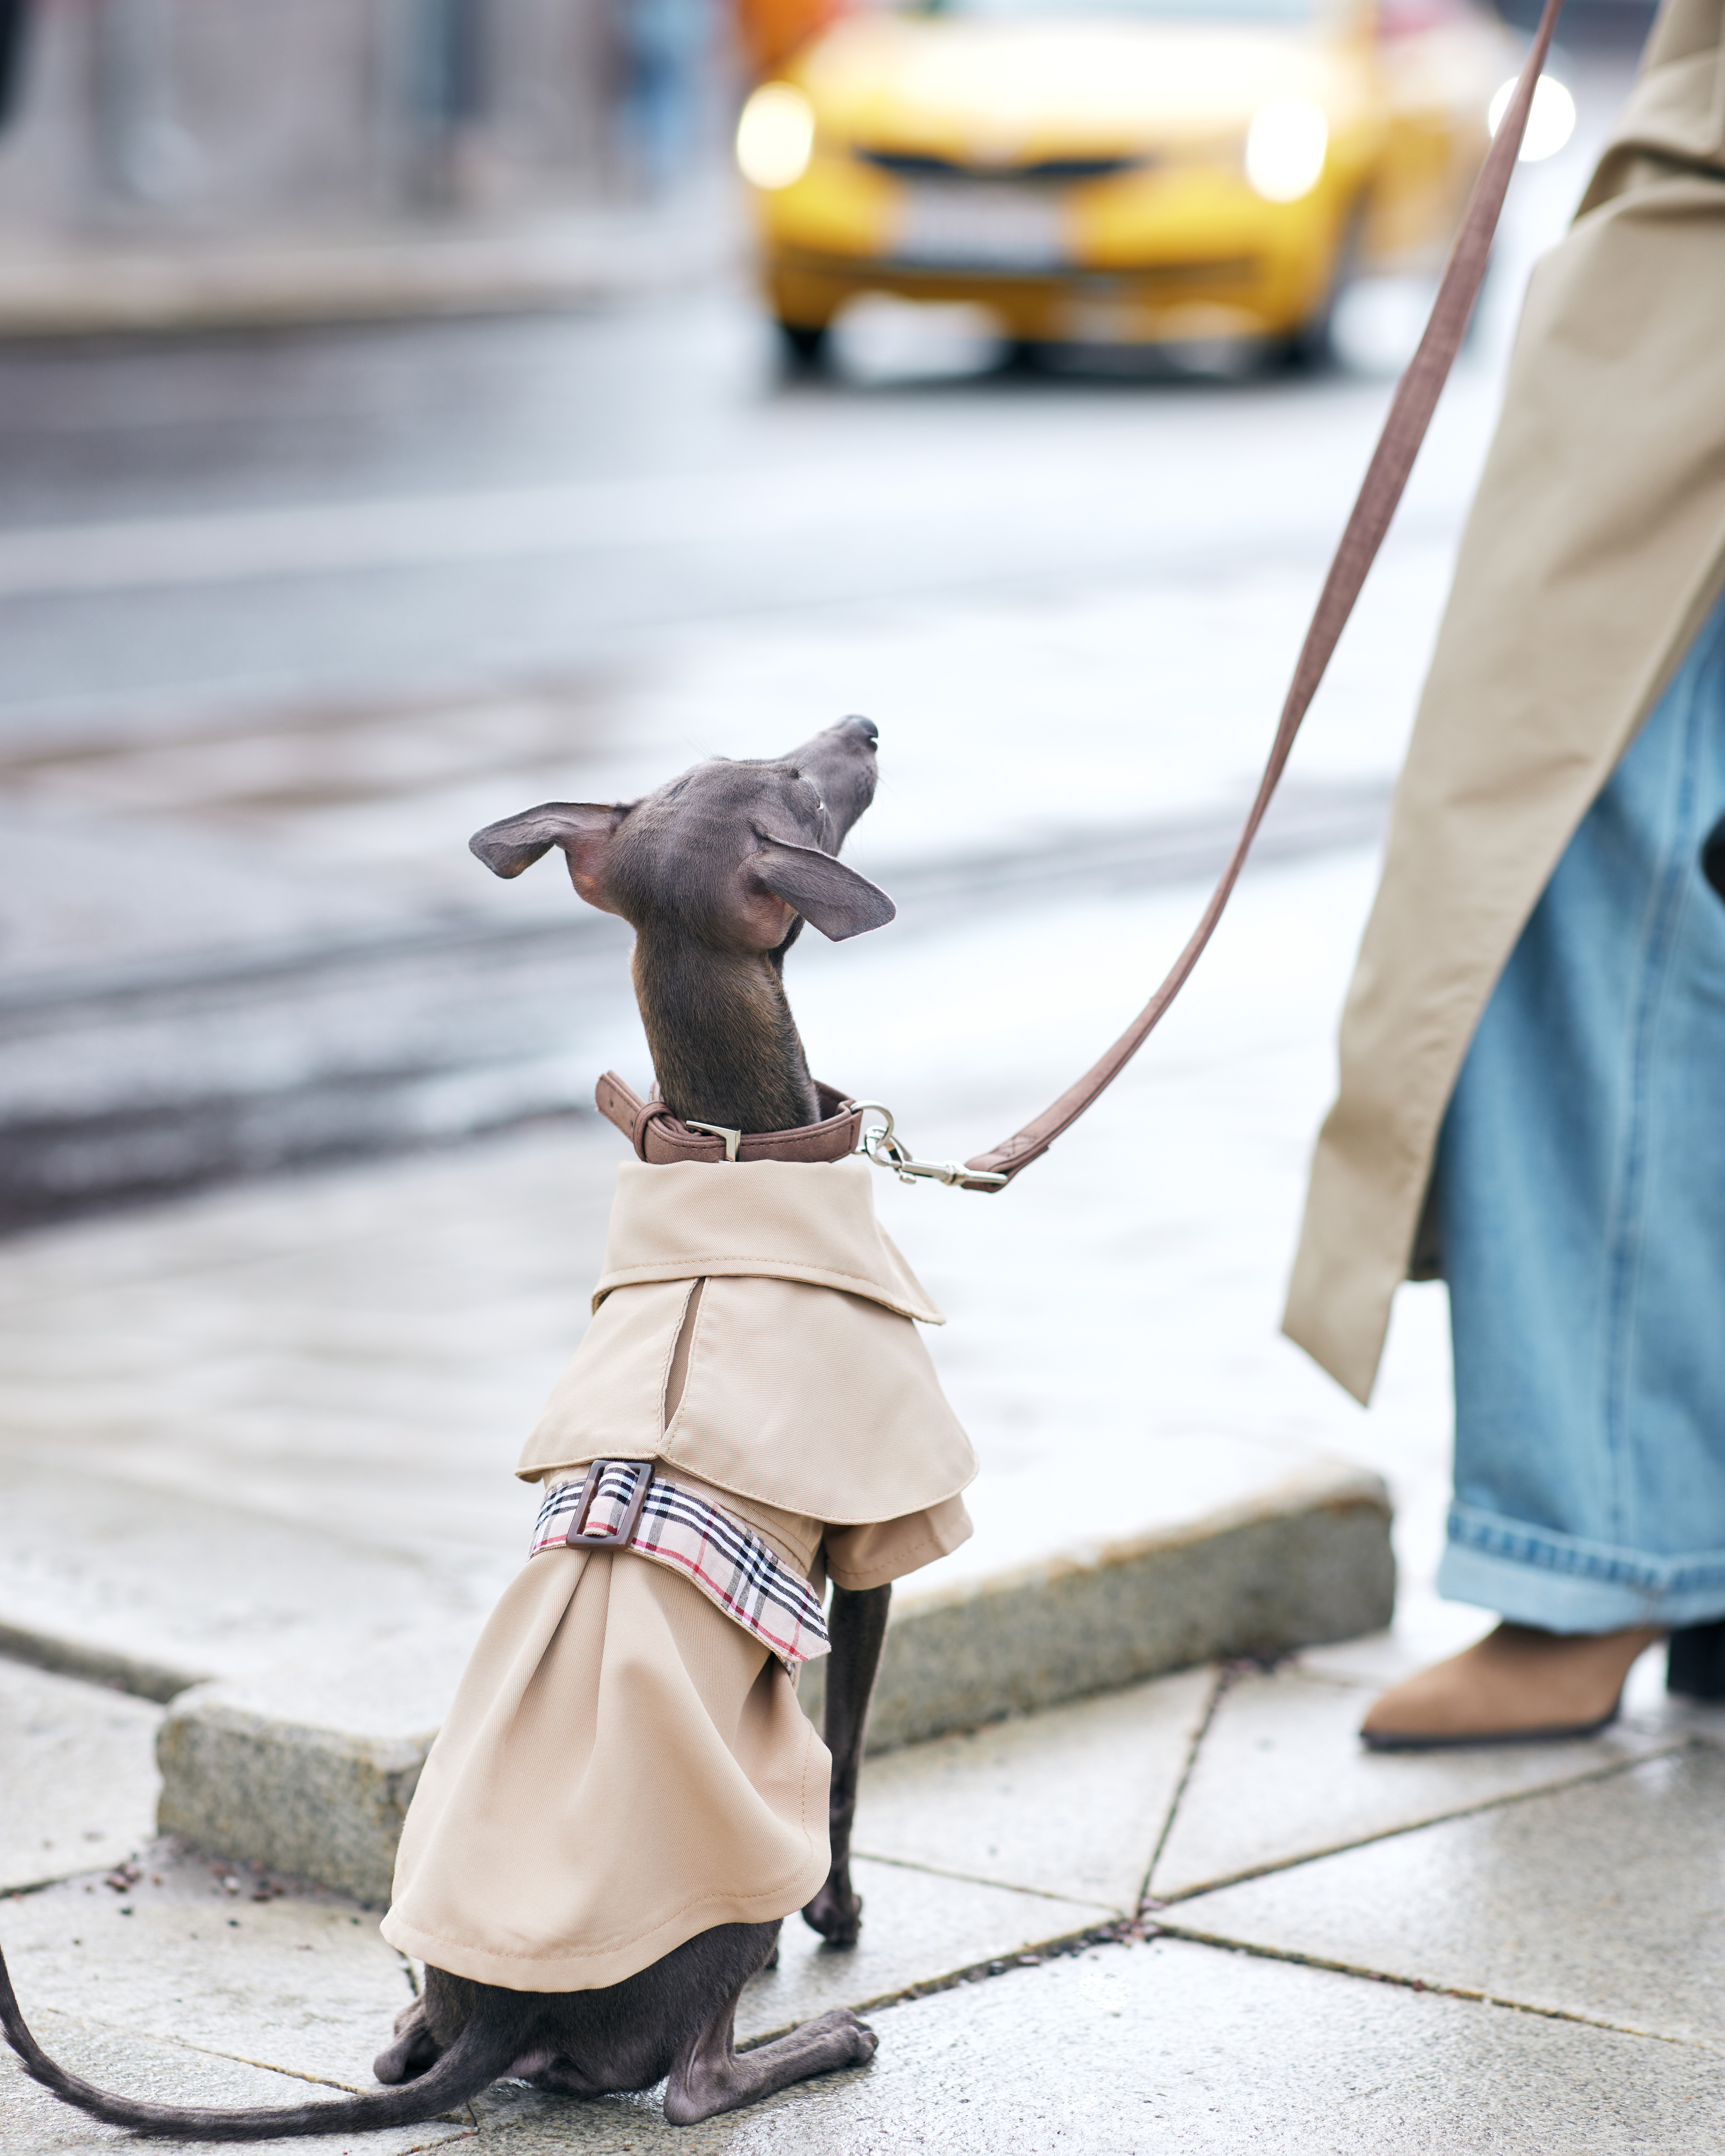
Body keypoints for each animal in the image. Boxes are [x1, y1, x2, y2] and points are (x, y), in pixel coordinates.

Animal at [0, 716, 983, 2130]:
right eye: (797, 788)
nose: (859, 725)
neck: (736, 1156)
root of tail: (506, 2018)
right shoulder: (874, 1542)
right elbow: (853, 1759)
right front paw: (840, 1921)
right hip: (733, 1865)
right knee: (692, 2084)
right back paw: (820, 2036)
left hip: (434, 2000)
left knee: (396, 2049)